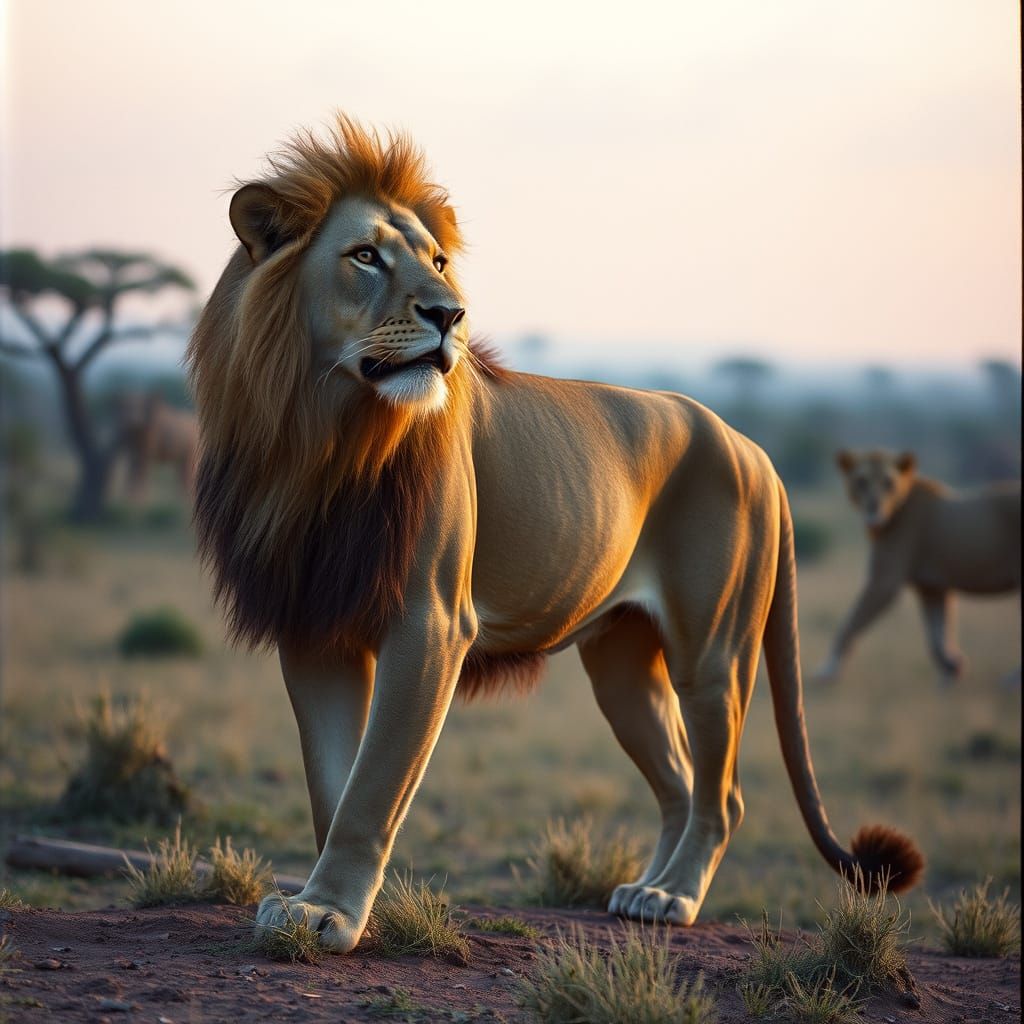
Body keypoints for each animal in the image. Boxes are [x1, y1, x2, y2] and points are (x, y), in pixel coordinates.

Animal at [186, 115, 923, 954]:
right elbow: (333, 785)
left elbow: (372, 787)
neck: (323, 435)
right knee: (679, 781)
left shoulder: (430, 624)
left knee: (722, 792)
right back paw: (641, 891)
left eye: (438, 261)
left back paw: (674, 898)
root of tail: (753, 448)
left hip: (713, 650)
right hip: (622, 662)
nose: (451, 315)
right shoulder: (315, 625)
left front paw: (329, 915)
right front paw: (330, 905)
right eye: (365, 256)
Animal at [813, 449, 1021, 684]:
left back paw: (1011, 680)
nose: (874, 508)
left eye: (888, 482)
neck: (896, 511)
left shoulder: (885, 581)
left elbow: (850, 624)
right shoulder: (931, 587)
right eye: (861, 481)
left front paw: (826, 671)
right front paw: (952, 666)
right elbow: (937, 635)